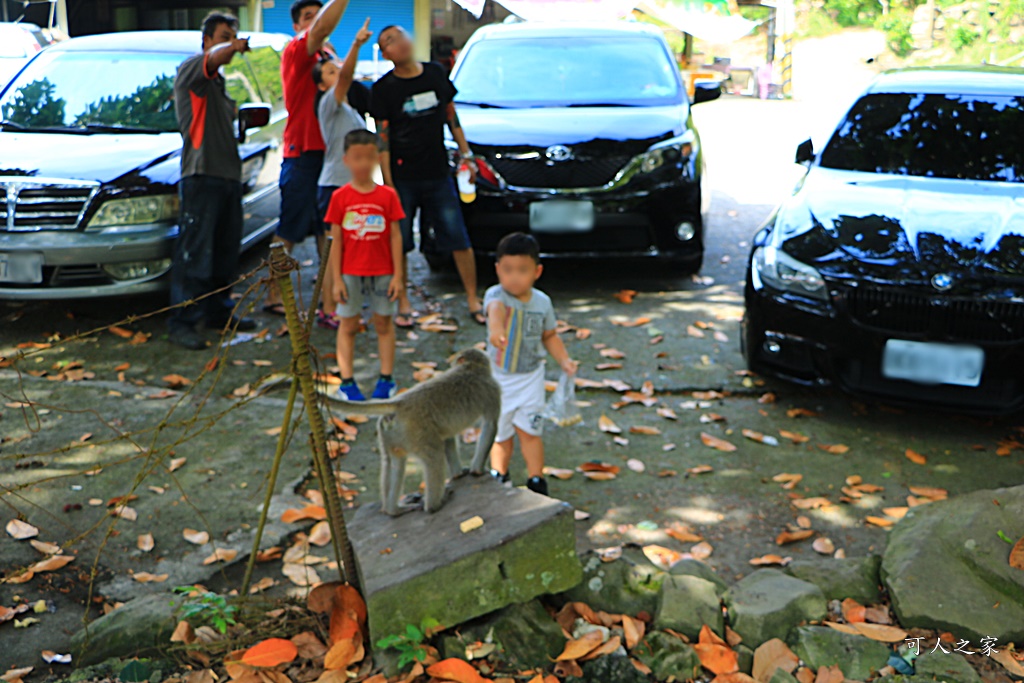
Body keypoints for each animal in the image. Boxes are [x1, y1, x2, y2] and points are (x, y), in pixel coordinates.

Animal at [329, 350, 501, 516]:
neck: (471, 368)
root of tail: (400, 402)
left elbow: (448, 437)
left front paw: (459, 474)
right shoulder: (493, 389)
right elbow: (490, 426)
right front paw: (477, 471)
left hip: (391, 433)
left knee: (394, 462)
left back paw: (393, 510)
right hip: (417, 432)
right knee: (434, 457)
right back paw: (433, 506)